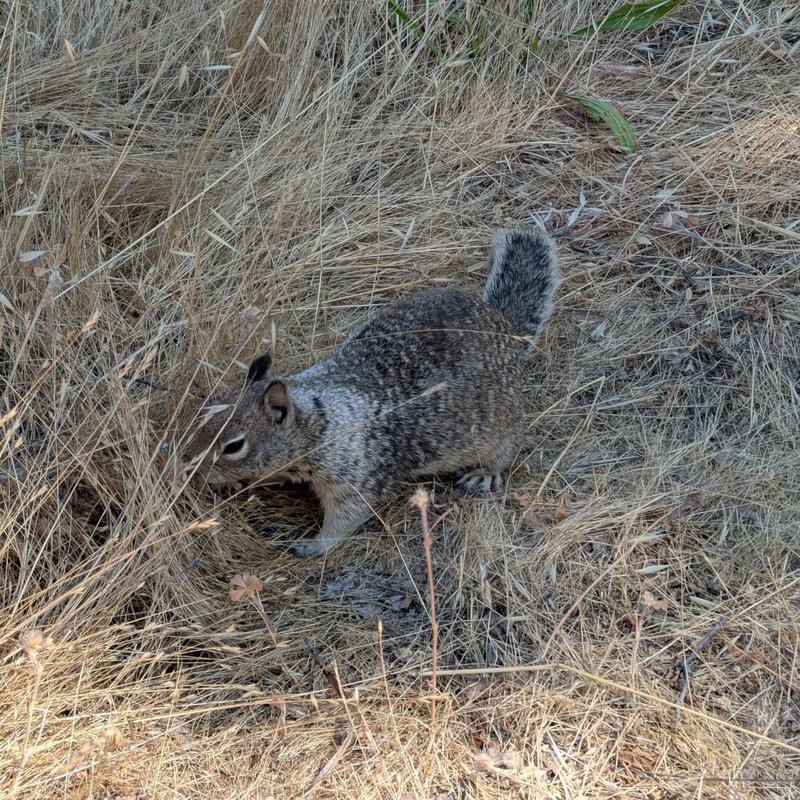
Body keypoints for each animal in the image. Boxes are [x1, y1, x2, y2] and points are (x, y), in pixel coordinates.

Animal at [174, 227, 560, 557]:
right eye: (202, 416)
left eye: (234, 446)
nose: (185, 463)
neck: (321, 418)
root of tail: (507, 330)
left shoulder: (357, 474)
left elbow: (347, 516)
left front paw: (313, 545)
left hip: (502, 423)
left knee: (507, 447)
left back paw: (484, 473)